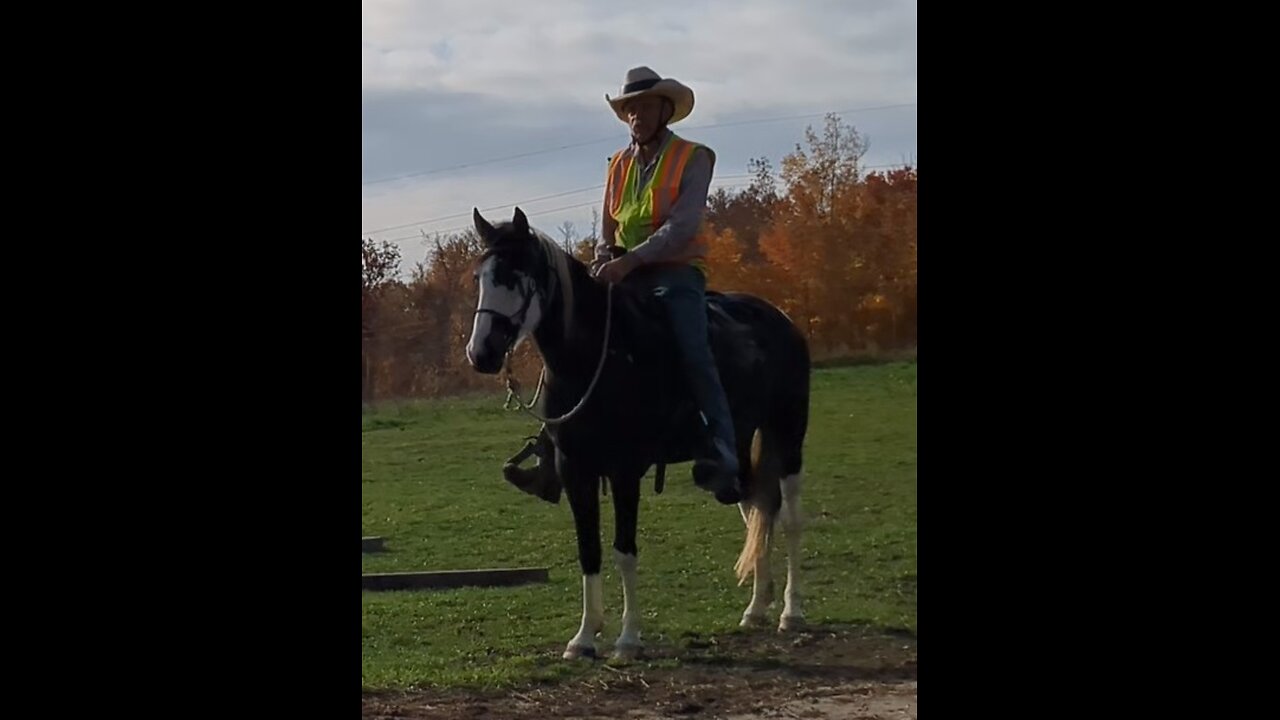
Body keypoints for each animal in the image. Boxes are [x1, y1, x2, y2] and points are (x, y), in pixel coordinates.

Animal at [468, 204, 808, 661]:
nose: (481, 353)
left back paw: (791, 611)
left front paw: (628, 639)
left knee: (788, 518)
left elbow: (624, 550)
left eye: (516, 275)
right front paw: (584, 638)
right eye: (480, 277)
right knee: (757, 508)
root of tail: (782, 320)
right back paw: (756, 608)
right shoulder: (576, 471)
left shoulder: (625, 471)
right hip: (739, 450)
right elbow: (589, 550)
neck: (597, 355)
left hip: (789, 435)